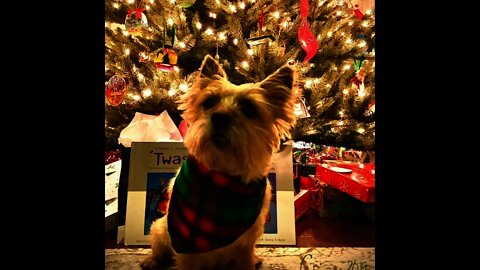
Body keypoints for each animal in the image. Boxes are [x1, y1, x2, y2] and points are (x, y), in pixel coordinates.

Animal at [140, 54, 296, 270]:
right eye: (209, 102)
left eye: (249, 108)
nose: (219, 117)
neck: (223, 175)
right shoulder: (187, 247)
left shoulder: (247, 241)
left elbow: (246, 258)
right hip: (159, 228)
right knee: (158, 248)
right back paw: (151, 261)